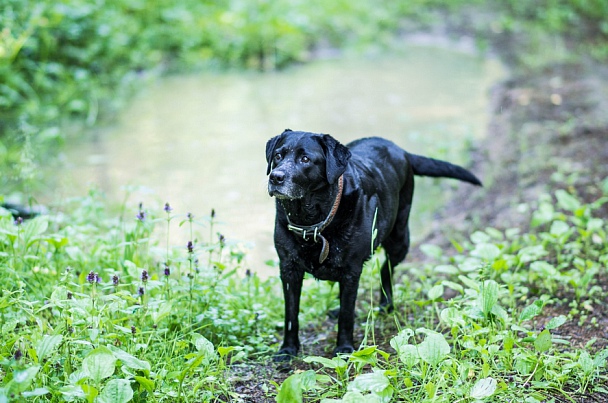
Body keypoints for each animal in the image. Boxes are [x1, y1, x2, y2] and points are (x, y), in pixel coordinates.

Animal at [266, 130, 480, 360]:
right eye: (278, 156)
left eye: (305, 159)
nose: (275, 177)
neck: (312, 223)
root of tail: (402, 151)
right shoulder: (289, 269)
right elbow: (291, 315)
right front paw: (288, 349)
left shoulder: (351, 271)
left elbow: (346, 315)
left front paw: (344, 348)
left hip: (399, 238)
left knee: (387, 269)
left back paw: (386, 304)